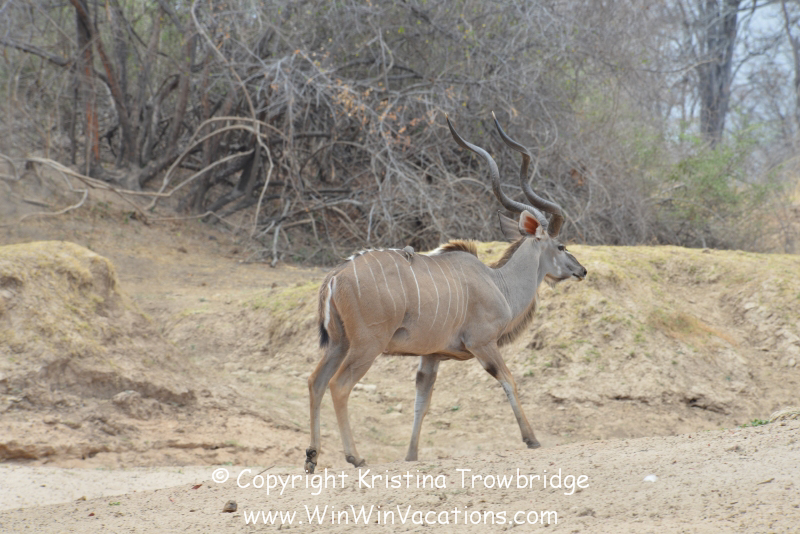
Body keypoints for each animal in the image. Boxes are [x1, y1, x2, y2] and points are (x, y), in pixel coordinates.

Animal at [304, 113, 587, 473]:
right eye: (561, 245)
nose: (581, 270)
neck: (498, 282)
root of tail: (335, 276)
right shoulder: (483, 344)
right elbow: (509, 380)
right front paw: (532, 439)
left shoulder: (431, 355)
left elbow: (422, 401)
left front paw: (411, 456)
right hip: (366, 345)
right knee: (339, 386)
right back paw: (355, 456)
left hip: (340, 344)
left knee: (316, 381)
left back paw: (311, 457)